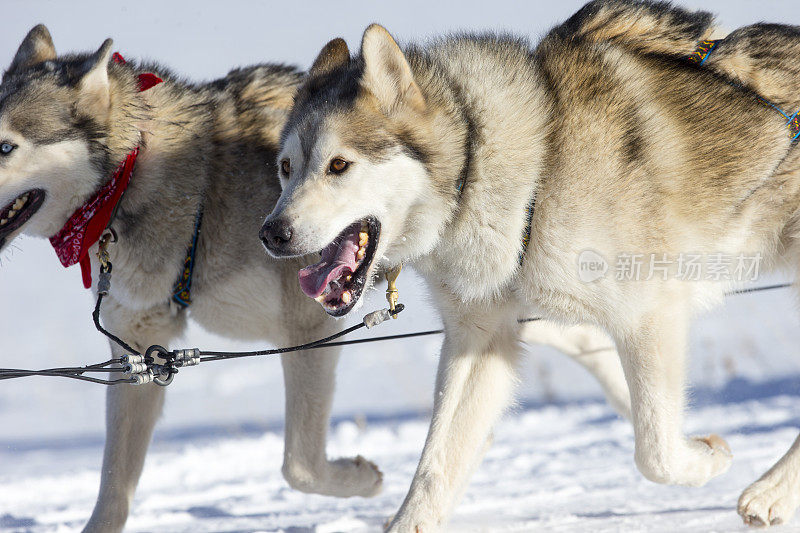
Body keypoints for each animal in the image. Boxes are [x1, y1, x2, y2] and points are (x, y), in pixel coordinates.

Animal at [0, 22, 632, 528]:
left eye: (5, 146)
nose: (272, 234)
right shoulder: (141, 353)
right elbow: (112, 494)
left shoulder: (307, 329)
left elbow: (298, 465)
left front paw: (363, 478)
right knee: (574, 334)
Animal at [260, 0, 800, 528]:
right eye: (285, 168)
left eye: (338, 165)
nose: (271, 233)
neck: (530, 171)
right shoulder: (482, 337)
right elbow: (435, 467)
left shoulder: (648, 316)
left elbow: (656, 454)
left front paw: (709, 457)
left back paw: (770, 492)